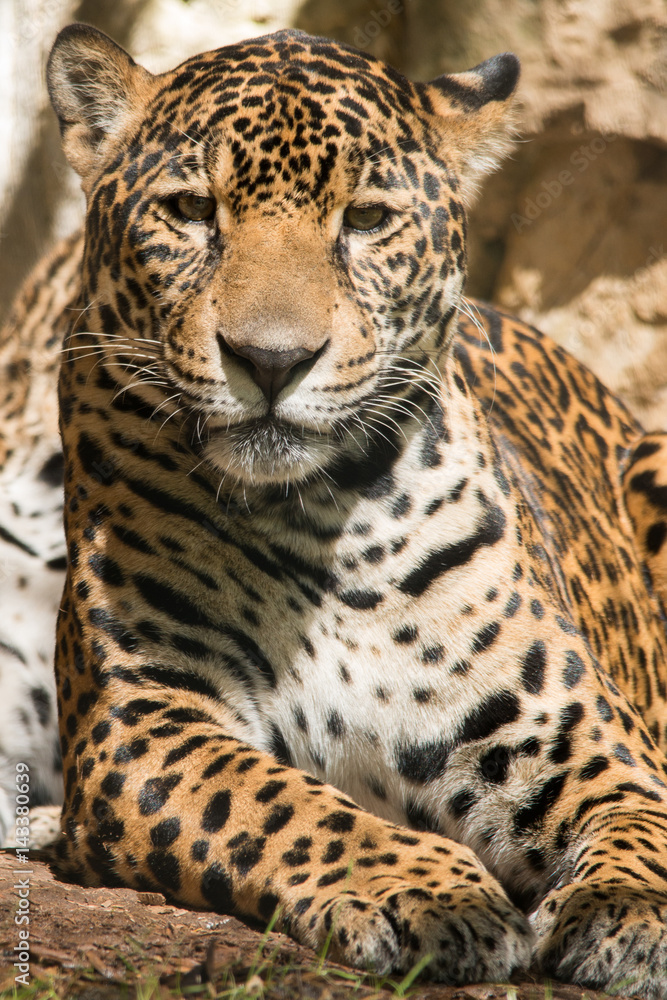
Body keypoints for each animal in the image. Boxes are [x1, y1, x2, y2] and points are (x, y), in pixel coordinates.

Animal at [3, 20, 667, 996]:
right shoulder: (146, 719)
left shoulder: (575, 733)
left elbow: (639, 818)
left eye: (364, 220)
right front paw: (430, 893)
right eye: (191, 211)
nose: (271, 360)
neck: (325, 524)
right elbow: (285, 806)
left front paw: (634, 911)